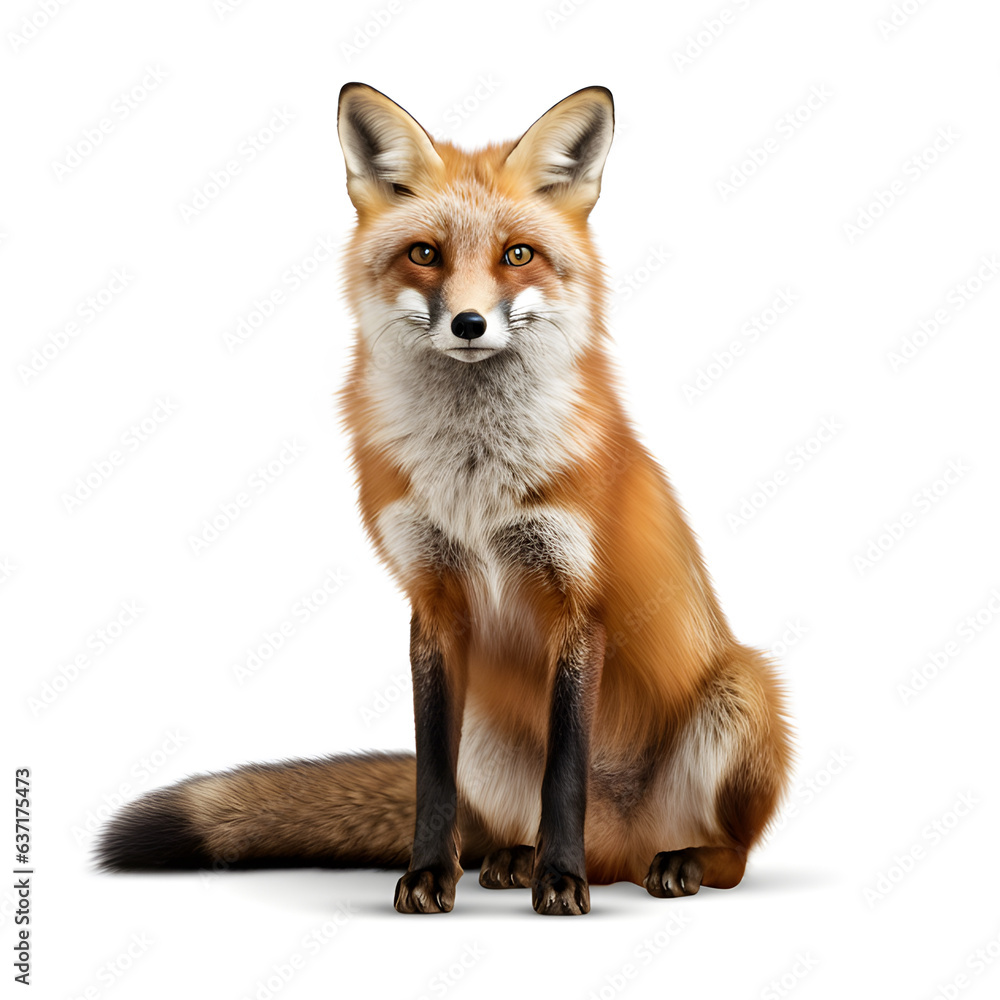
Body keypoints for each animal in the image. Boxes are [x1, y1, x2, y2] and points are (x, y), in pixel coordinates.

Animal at [97, 84, 792, 916]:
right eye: (424, 253)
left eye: (518, 254)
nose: (469, 323)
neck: (475, 483)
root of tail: (628, 844)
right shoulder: (433, 598)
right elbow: (432, 772)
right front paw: (431, 874)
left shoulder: (577, 602)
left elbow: (566, 772)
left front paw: (561, 883)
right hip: (492, 742)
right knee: (517, 826)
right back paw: (517, 859)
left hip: (742, 690)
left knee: (735, 855)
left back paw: (663, 861)